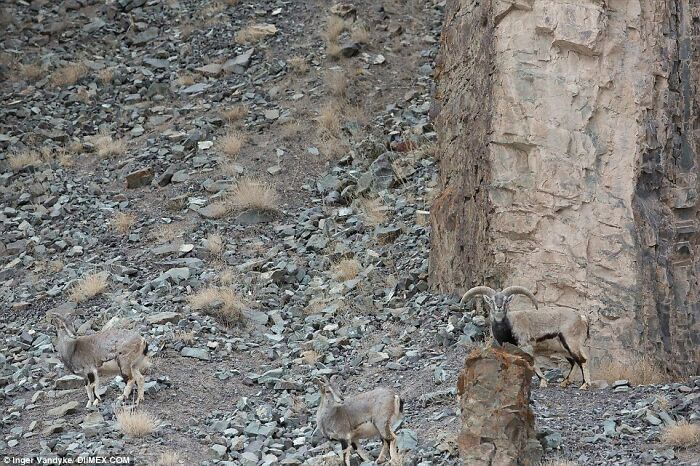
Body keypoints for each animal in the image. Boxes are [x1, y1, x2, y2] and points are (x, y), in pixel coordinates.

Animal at [461, 286, 591, 390]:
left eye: (506, 300)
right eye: (492, 300)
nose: (499, 307)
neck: (509, 325)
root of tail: (581, 318)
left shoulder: (526, 346)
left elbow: (533, 363)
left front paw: (543, 382)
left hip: (571, 342)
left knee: (582, 360)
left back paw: (584, 385)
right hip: (564, 349)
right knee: (575, 361)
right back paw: (565, 383)